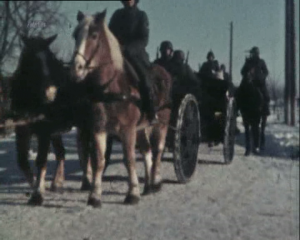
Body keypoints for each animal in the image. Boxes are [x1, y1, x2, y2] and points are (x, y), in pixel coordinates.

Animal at [9, 35, 75, 204]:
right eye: (32, 62)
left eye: (51, 59)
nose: (51, 94)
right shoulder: (21, 130)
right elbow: (22, 161)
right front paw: (36, 186)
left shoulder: (44, 131)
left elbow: (41, 160)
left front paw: (38, 194)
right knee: (61, 153)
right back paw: (57, 183)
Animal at [69, 9, 171, 207]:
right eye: (75, 35)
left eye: (94, 35)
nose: (76, 68)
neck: (110, 87)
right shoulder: (98, 128)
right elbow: (99, 160)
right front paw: (95, 195)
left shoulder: (127, 129)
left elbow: (129, 159)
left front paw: (132, 194)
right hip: (141, 128)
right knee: (147, 151)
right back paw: (147, 185)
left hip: (161, 124)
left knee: (157, 150)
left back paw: (155, 181)